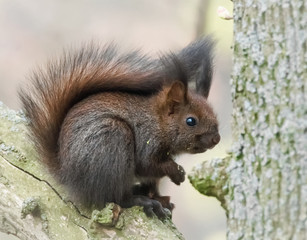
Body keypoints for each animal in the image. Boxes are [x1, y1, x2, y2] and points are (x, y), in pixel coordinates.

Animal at [19, 37, 220, 218]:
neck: (157, 122)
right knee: (114, 197)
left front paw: (161, 196)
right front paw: (177, 172)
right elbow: (148, 165)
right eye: (190, 121)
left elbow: (153, 181)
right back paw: (140, 201)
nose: (216, 139)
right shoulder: (148, 140)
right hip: (113, 144)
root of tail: (67, 175)